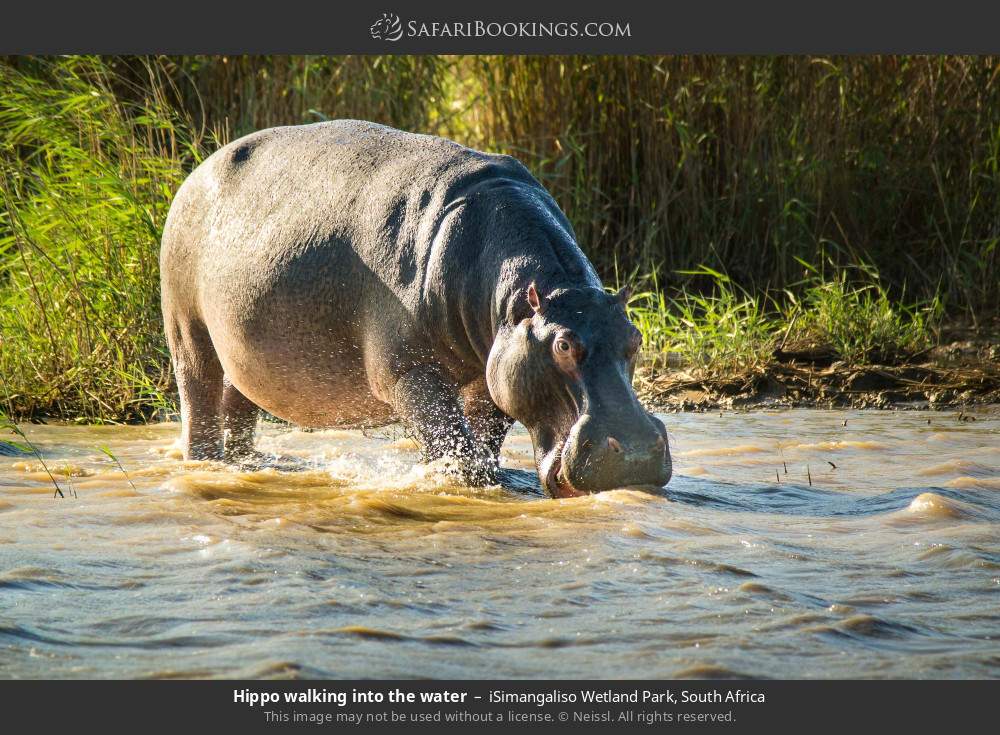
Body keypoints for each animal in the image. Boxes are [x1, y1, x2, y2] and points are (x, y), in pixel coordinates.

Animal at [160, 120, 671, 496]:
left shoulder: (493, 371)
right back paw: (206, 463)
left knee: (238, 401)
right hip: (187, 329)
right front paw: (455, 482)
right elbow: (455, 445)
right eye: (563, 345)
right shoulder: (408, 372)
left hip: (246, 351)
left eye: (636, 338)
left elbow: (481, 438)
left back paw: (250, 463)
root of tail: (201, 166)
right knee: (198, 396)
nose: (636, 452)